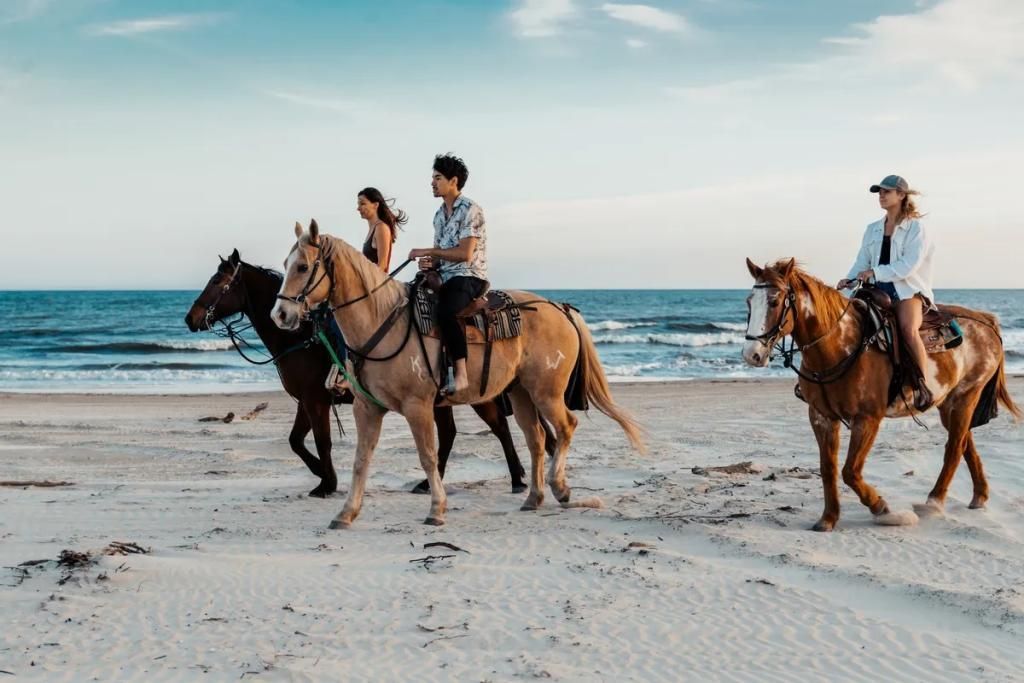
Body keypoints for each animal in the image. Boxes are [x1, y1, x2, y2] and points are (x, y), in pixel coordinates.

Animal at [185, 248, 548, 498]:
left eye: (217, 281)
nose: (191, 318)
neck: (300, 336)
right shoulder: (306, 400)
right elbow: (296, 441)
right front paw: (321, 475)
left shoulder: (316, 400)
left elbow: (322, 441)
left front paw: (327, 482)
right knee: (452, 433)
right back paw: (431, 482)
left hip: (472, 392)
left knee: (498, 426)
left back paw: (516, 478)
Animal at [270, 221, 645, 528]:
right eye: (285, 265)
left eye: (303, 266)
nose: (281, 314)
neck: (381, 322)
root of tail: (560, 308)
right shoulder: (367, 408)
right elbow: (362, 459)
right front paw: (346, 513)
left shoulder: (418, 407)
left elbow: (427, 455)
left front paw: (436, 509)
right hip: (520, 393)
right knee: (536, 439)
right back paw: (533, 497)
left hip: (546, 392)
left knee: (565, 427)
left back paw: (560, 488)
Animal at [742, 258, 1021, 531]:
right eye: (749, 302)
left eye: (774, 301)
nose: (751, 354)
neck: (839, 347)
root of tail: (985, 320)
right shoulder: (821, 417)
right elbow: (828, 468)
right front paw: (828, 518)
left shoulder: (867, 419)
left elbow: (850, 471)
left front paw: (884, 509)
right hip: (948, 403)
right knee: (964, 442)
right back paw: (979, 495)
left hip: (966, 395)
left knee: (954, 447)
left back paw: (934, 502)